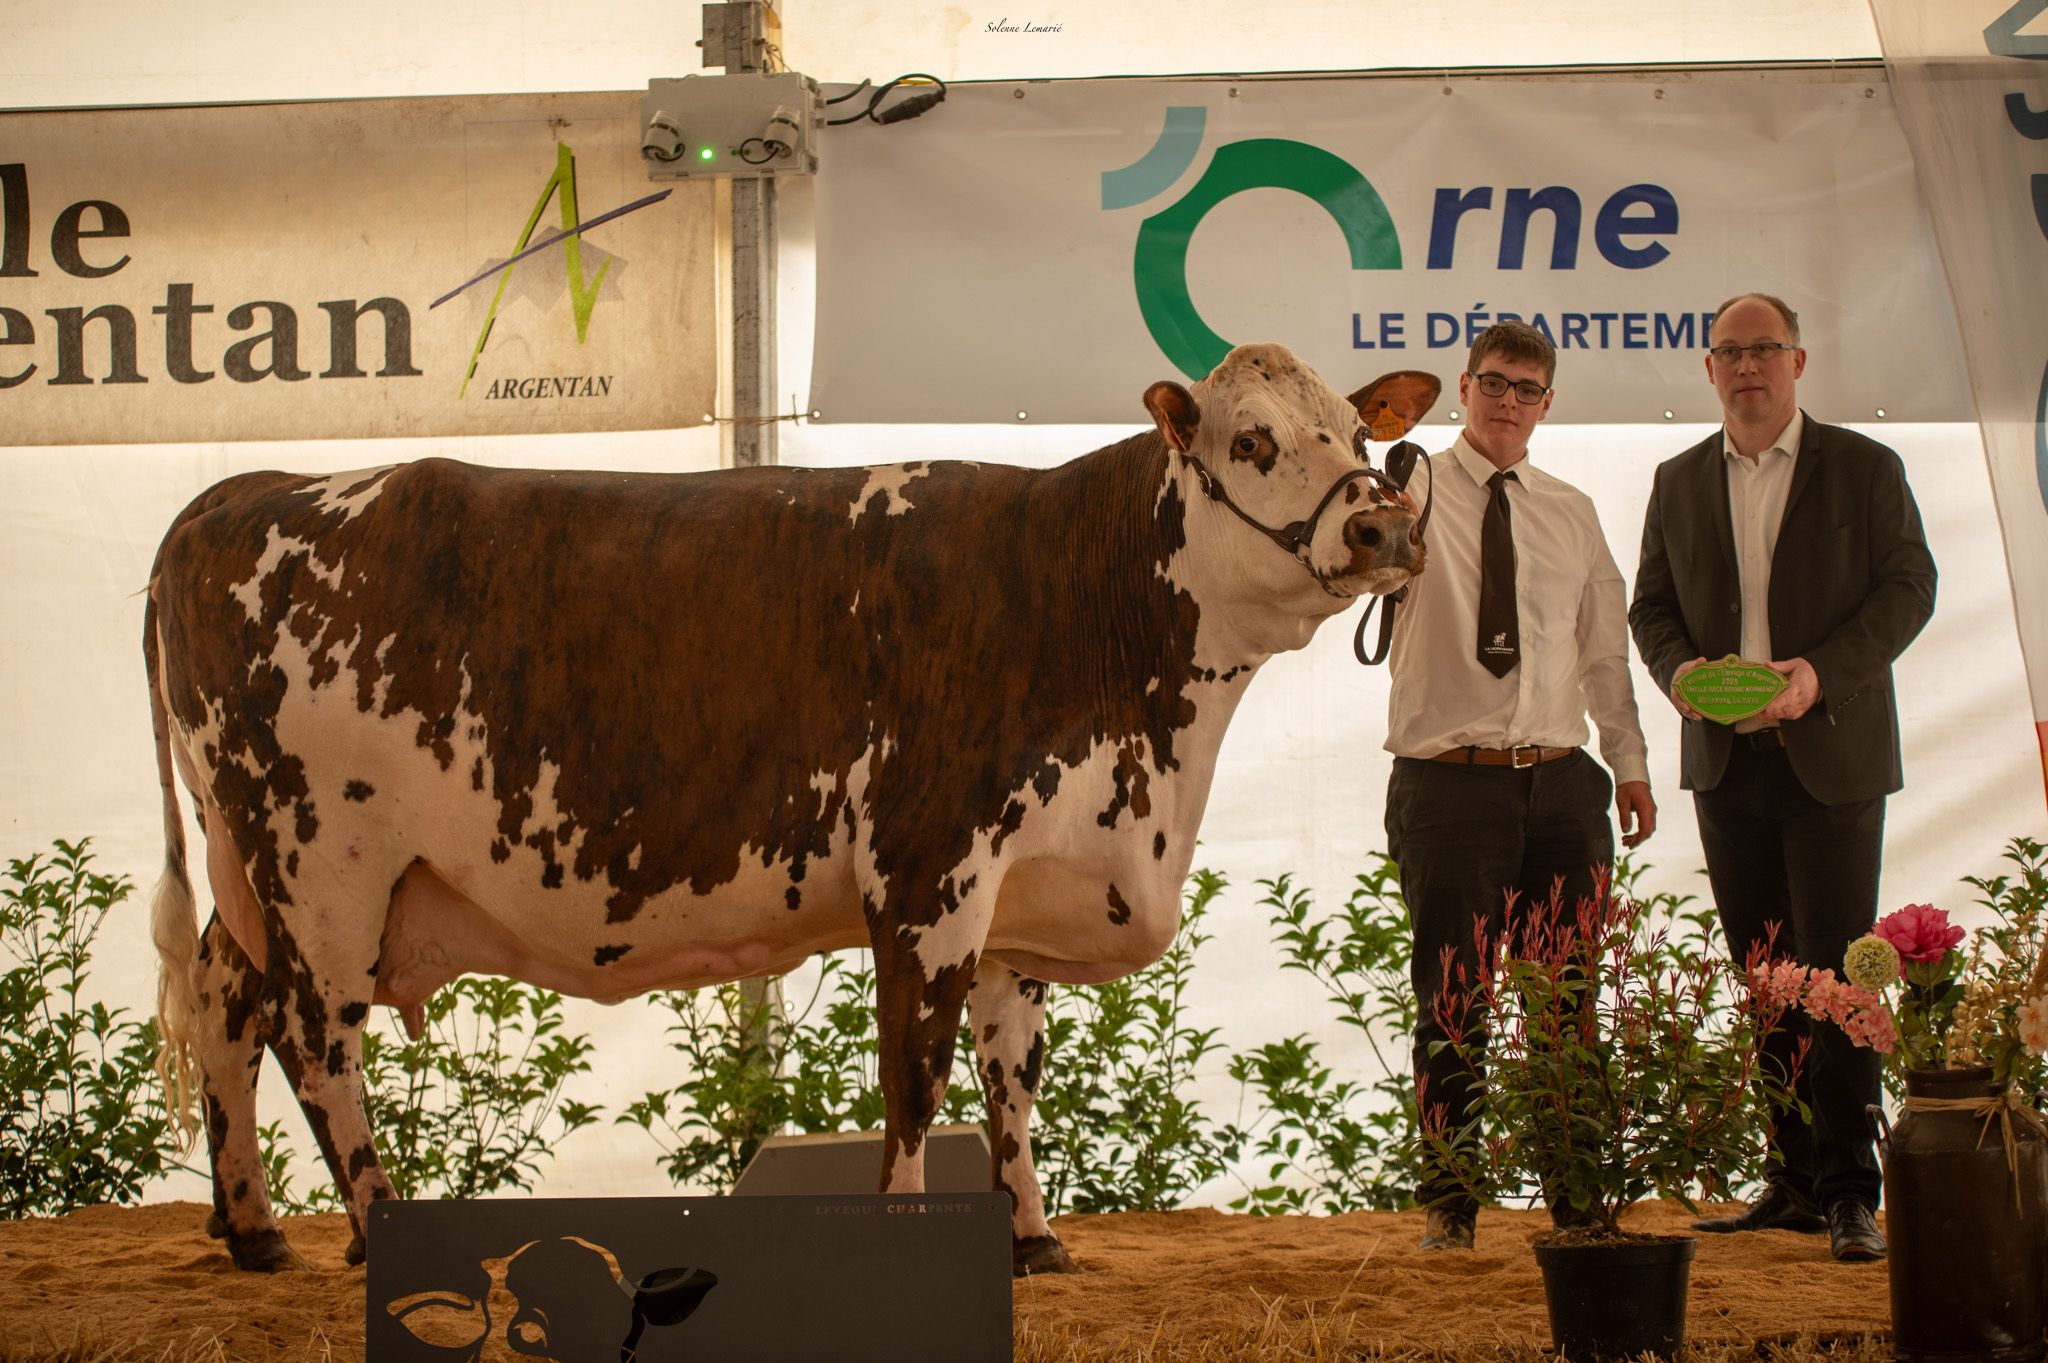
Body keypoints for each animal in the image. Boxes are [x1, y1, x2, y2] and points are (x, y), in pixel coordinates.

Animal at [145, 342, 1438, 1276]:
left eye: (1359, 431)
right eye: (1250, 438)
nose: (1383, 522)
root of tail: (241, 494)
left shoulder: (1023, 891)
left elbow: (1011, 1075)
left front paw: (1033, 1240)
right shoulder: (927, 871)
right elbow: (916, 1074)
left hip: (250, 865)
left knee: (224, 999)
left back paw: (253, 1231)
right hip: (322, 862)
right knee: (316, 1040)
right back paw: (372, 1231)